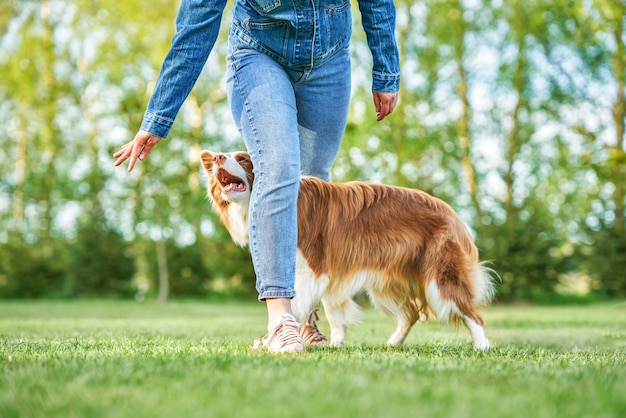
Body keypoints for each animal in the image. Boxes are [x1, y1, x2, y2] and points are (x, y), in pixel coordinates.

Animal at [199, 150, 492, 350]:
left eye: (243, 159)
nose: (218, 158)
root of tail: (453, 214)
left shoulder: (315, 268)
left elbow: (297, 304)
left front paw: (272, 338)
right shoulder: (329, 276)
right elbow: (333, 314)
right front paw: (335, 344)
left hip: (439, 278)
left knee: (472, 314)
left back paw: (482, 346)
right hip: (385, 285)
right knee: (410, 315)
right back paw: (392, 343)